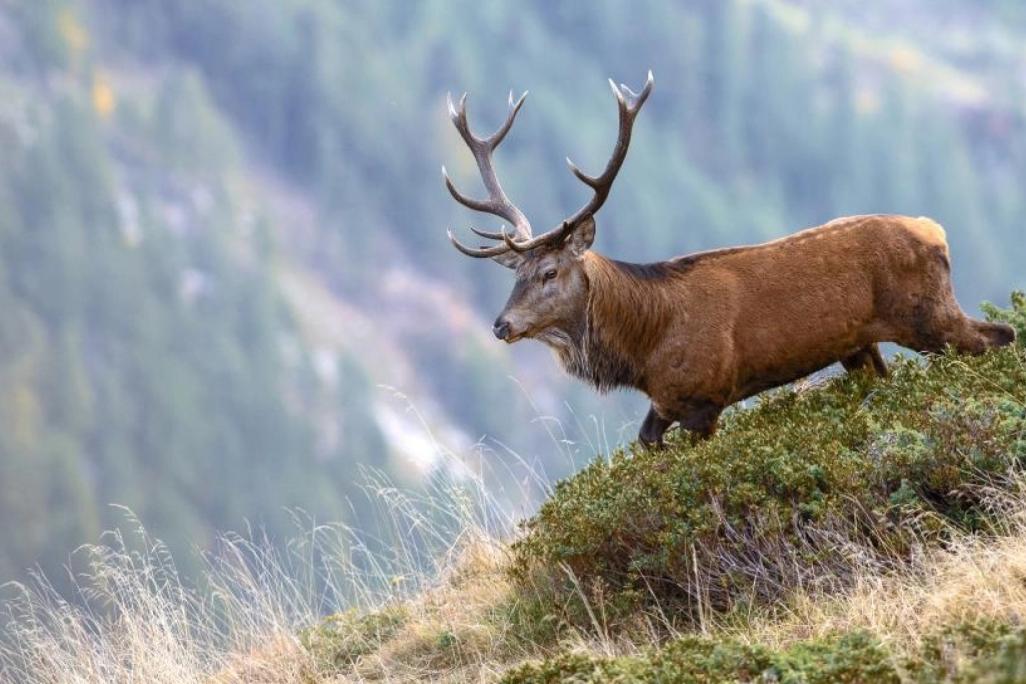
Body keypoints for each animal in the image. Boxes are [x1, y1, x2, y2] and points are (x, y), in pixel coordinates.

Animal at [442, 72, 1016, 448]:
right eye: (514, 274)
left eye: (549, 271)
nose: (501, 325)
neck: (644, 348)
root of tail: (936, 230)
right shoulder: (665, 402)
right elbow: (647, 444)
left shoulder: (704, 397)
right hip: (861, 346)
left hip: (927, 315)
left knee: (998, 336)